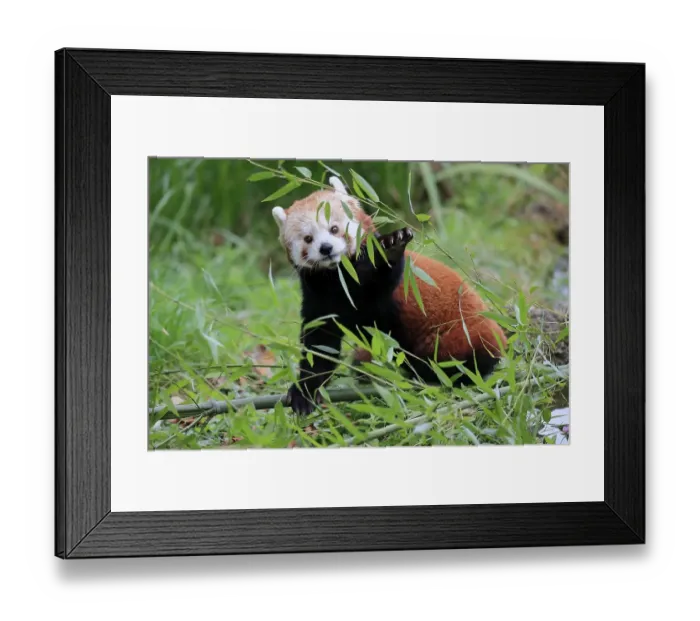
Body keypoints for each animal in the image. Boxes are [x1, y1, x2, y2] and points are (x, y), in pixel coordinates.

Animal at [271, 176, 506, 415]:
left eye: (334, 228)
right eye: (308, 238)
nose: (326, 248)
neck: (339, 280)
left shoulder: (383, 290)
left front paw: (391, 247)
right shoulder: (320, 299)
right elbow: (319, 348)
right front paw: (304, 392)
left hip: (462, 333)